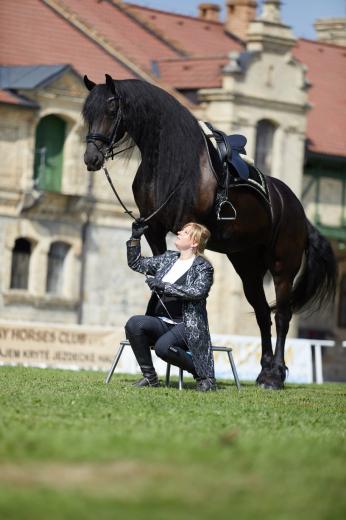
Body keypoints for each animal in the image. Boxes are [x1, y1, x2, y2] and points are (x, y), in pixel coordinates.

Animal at [81, 74, 336, 390]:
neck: (172, 166)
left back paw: (275, 376)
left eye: (112, 110)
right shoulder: (154, 231)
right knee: (262, 313)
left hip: (282, 267)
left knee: (283, 316)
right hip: (248, 266)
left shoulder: (185, 226)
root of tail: (295, 207)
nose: (91, 158)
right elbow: (160, 273)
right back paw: (263, 373)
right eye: (87, 113)